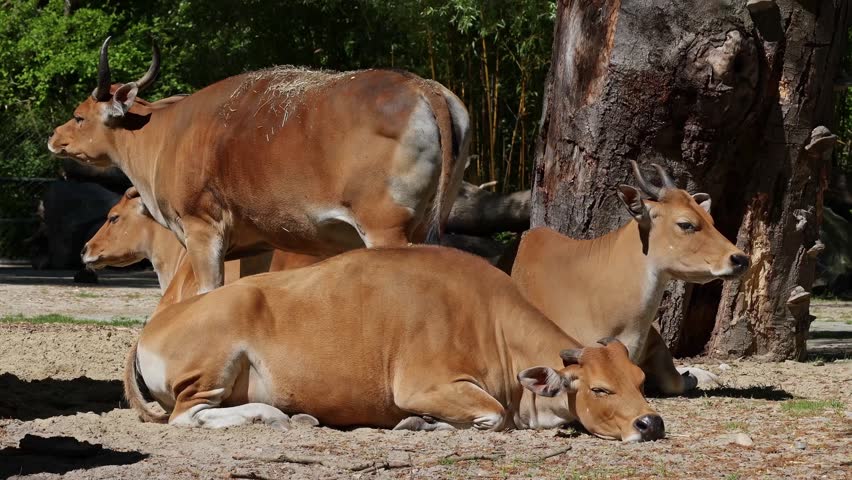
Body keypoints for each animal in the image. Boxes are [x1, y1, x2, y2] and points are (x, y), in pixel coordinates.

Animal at [49, 37, 470, 294]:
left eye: (79, 116)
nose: (55, 136)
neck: (167, 134)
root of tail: (423, 88)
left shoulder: (203, 233)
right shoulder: (256, 247)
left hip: (386, 232)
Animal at [125, 247, 664, 442]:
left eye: (639, 380)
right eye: (599, 389)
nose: (652, 423)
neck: (488, 319)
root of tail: (153, 326)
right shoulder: (425, 386)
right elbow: (494, 416)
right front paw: (419, 424)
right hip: (211, 366)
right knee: (185, 417)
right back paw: (272, 415)